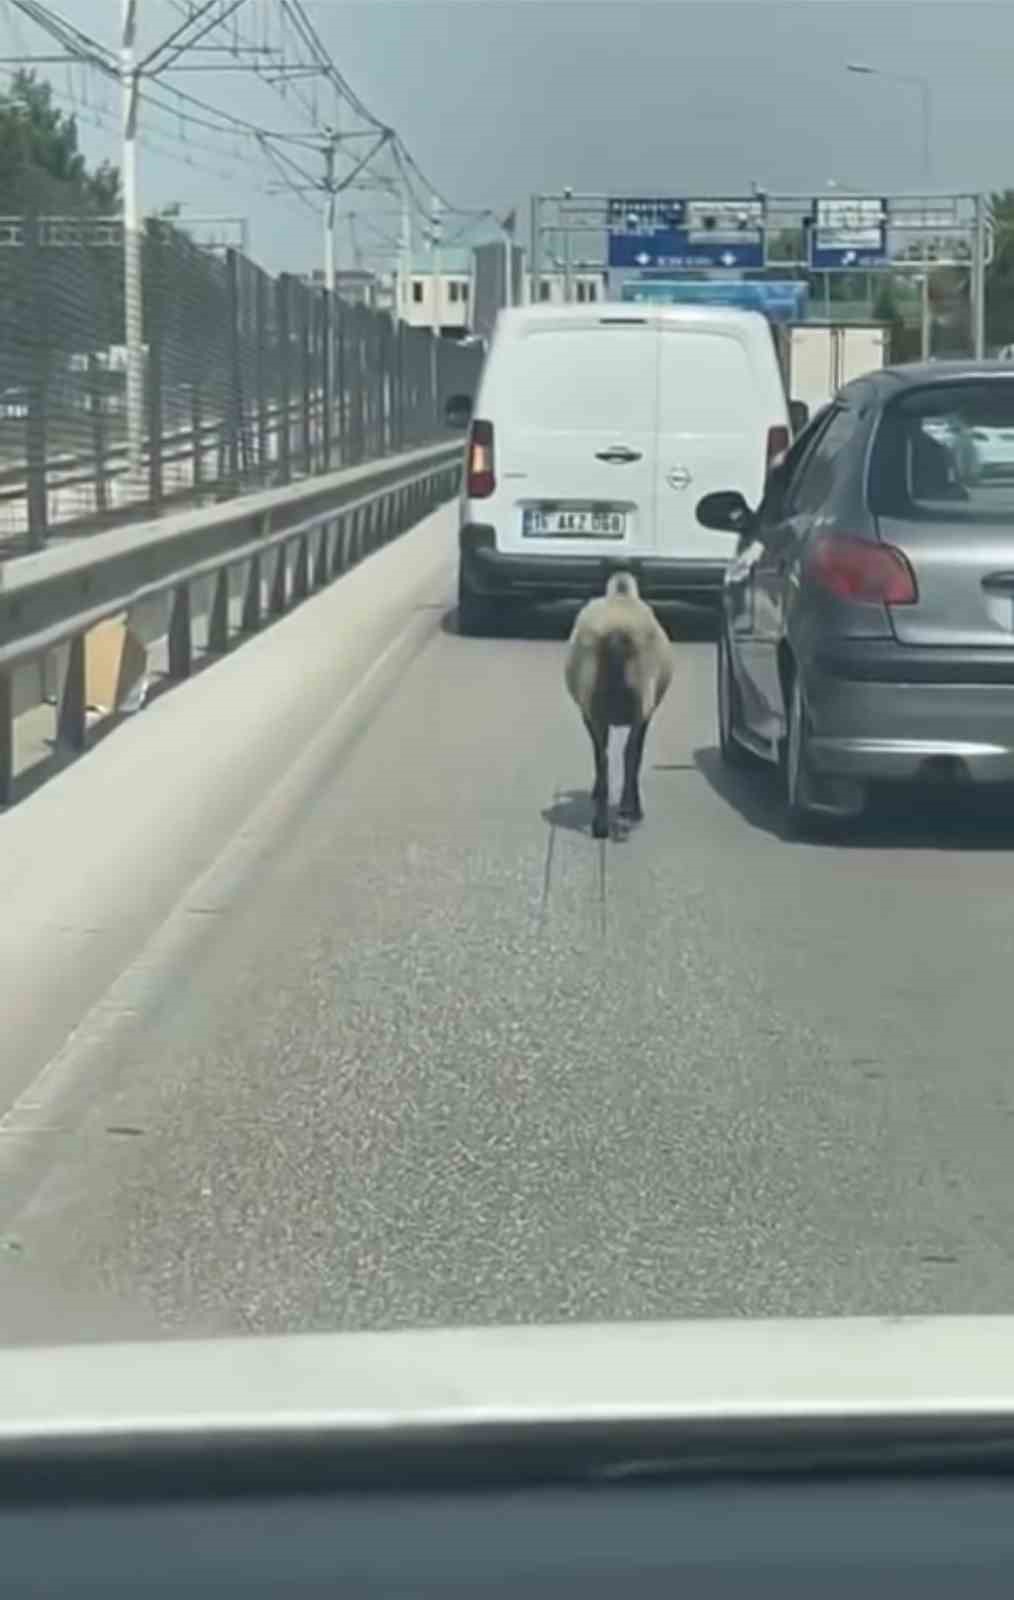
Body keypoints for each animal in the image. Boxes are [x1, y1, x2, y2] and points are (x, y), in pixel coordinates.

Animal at [566, 572, 668, 844]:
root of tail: (617, 635)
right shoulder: (644, 716)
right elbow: (635, 754)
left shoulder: (591, 715)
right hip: (635, 702)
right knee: (626, 754)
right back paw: (624, 814)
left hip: (600, 706)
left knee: (605, 757)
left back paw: (603, 822)